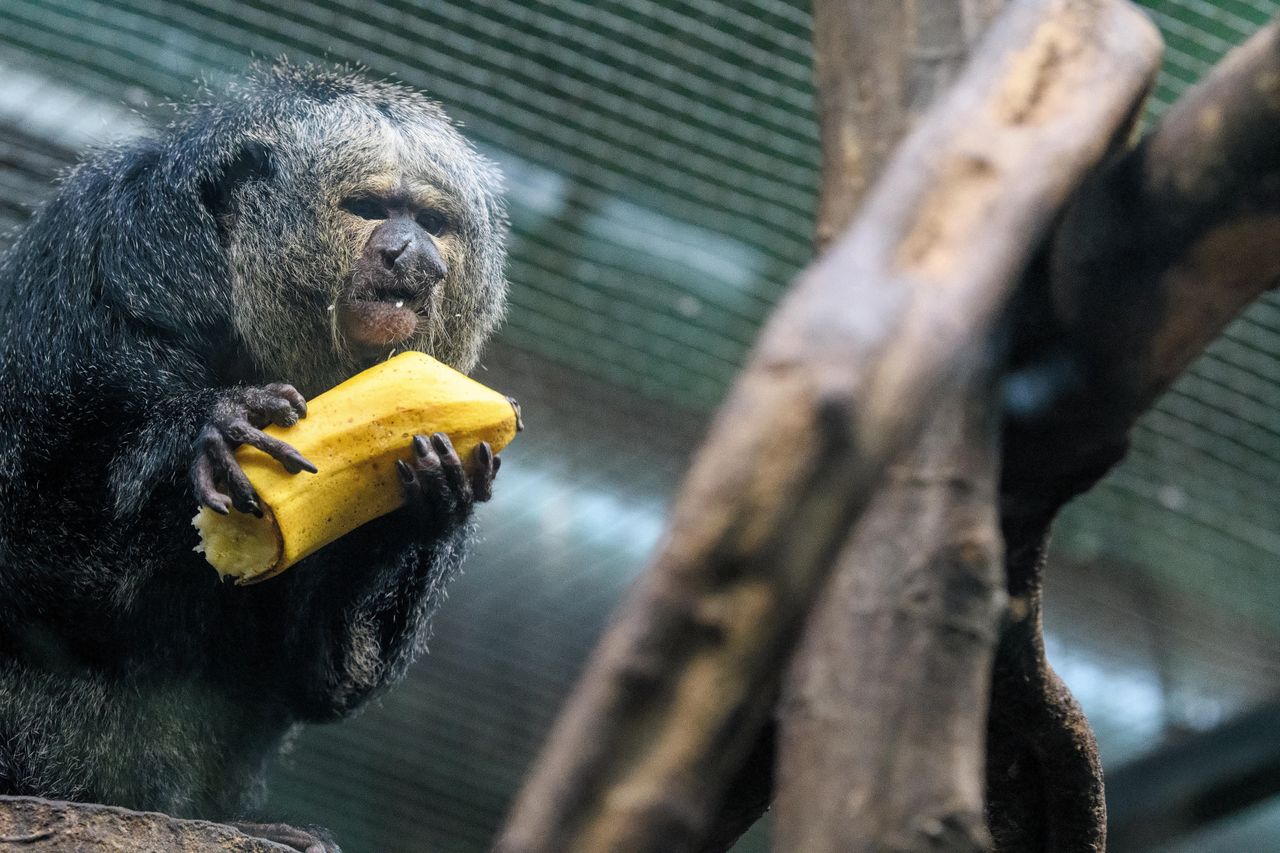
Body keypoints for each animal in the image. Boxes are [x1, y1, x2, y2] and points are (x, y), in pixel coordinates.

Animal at [0, 63, 509, 845]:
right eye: (369, 208)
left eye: (431, 222)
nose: (413, 256)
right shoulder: (102, 275)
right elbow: (32, 555)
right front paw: (210, 428)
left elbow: (322, 677)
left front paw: (425, 501)